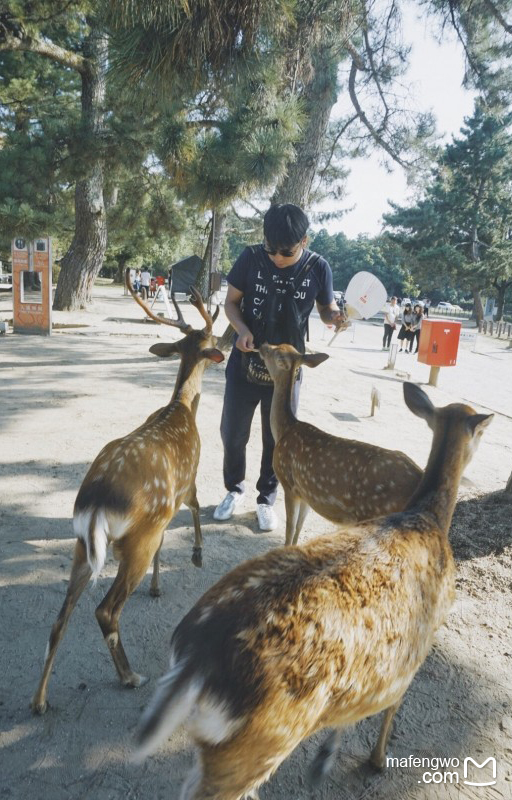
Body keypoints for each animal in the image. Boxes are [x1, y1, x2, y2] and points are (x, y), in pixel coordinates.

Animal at [31, 272, 223, 716]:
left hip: (84, 544)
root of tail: (96, 502)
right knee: (105, 610)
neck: (181, 409)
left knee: (60, 618)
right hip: (135, 539)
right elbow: (197, 507)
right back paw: (131, 677)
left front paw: (157, 585)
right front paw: (197, 554)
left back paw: (40, 700)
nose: (226, 340)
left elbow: (168, 540)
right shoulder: (187, 481)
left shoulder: (162, 516)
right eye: (209, 337)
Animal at [133, 382, 492, 800]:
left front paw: (326, 758)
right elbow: (390, 706)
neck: (427, 519)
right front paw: (376, 760)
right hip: (261, 739)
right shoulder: (419, 645)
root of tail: (196, 660)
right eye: (480, 430)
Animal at [258, 340, 422, 548]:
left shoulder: (289, 484)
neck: (284, 430)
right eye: (279, 344)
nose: (262, 345)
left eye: (276, 352)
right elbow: (298, 529)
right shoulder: (306, 492)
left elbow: (289, 531)